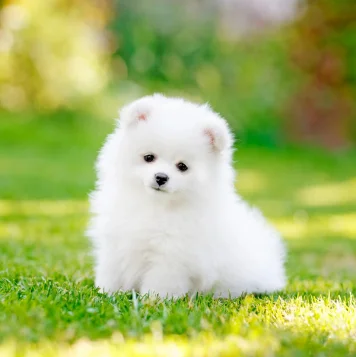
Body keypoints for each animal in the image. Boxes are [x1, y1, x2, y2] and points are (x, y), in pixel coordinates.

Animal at [88, 93, 286, 296]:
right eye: (149, 157)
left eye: (182, 166)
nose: (161, 177)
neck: (155, 205)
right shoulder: (115, 242)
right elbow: (111, 270)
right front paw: (107, 292)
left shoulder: (171, 255)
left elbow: (161, 281)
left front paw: (154, 299)